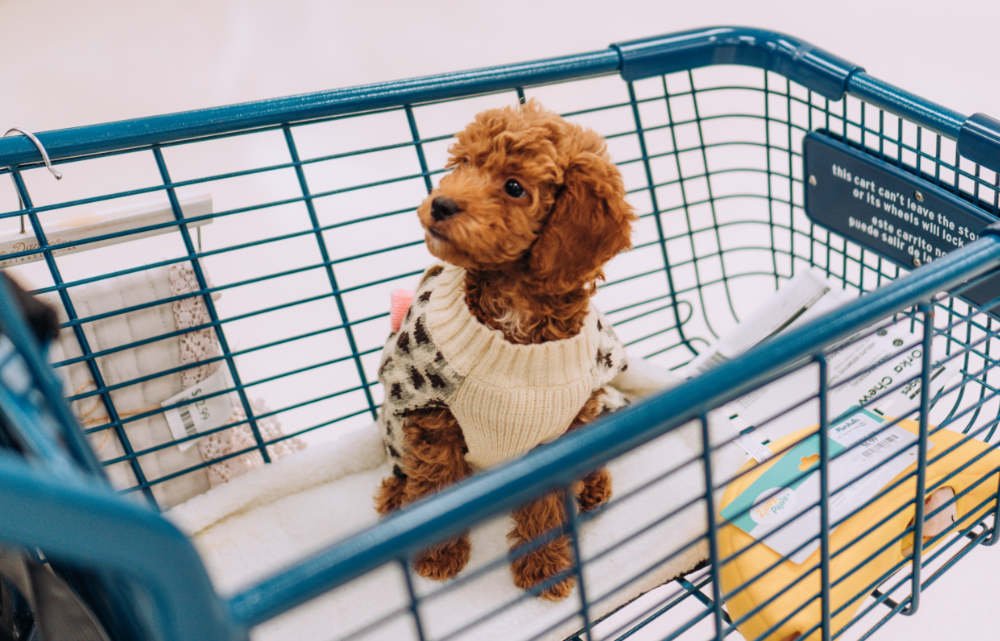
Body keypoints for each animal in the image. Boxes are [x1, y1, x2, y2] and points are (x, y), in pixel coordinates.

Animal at [372, 97, 636, 596]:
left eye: (514, 186)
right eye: (462, 165)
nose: (441, 203)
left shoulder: (557, 436)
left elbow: (548, 505)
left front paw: (547, 567)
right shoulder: (432, 418)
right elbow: (435, 487)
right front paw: (438, 558)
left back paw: (593, 487)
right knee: (403, 473)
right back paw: (396, 500)